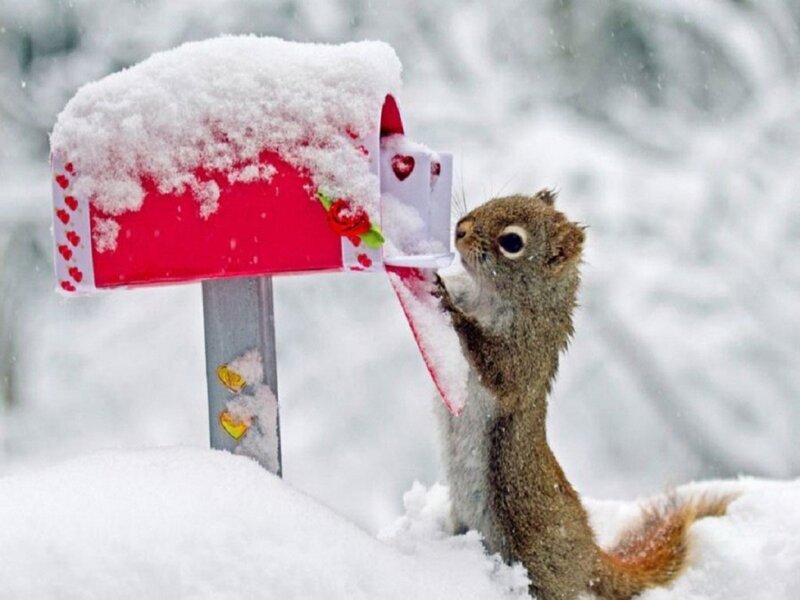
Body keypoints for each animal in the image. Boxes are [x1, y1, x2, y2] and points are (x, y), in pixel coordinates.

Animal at [433, 190, 733, 600]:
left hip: (540, 560)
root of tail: (590, 556)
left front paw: (451, 307)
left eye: (512, 242)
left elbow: (498, 368)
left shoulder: (526, 355)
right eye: (497, 198)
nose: (460, 230)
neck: (486, 294)